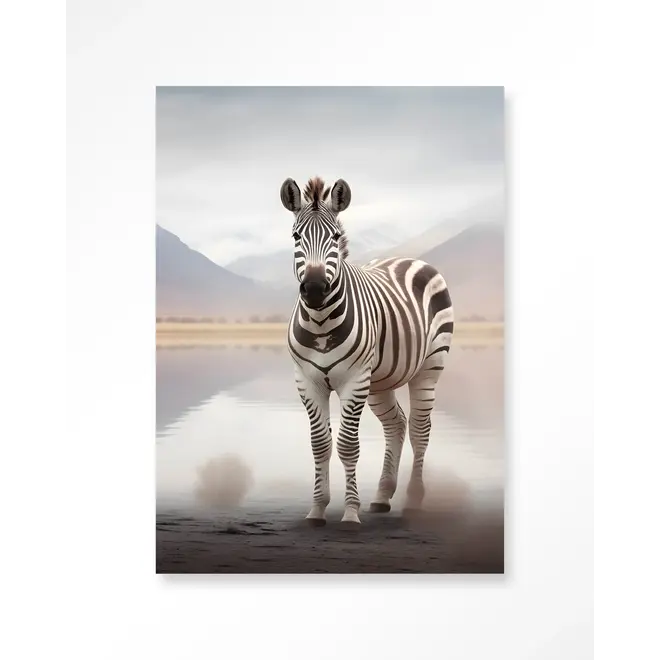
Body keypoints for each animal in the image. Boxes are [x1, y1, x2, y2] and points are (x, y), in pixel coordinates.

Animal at [280, 176, 454, 526]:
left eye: (335, 236)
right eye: (295, 236)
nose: (315, 289)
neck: (320, 323)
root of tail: (409, 258)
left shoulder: (354, 380)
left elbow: (347, 446)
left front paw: (350, 512)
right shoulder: (307, 381)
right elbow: (320, 445)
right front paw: (317, 509)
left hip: (429, 367)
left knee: (420, 429)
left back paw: (413, 500)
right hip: (380, 381)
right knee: (396, 424)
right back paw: (383, 495)